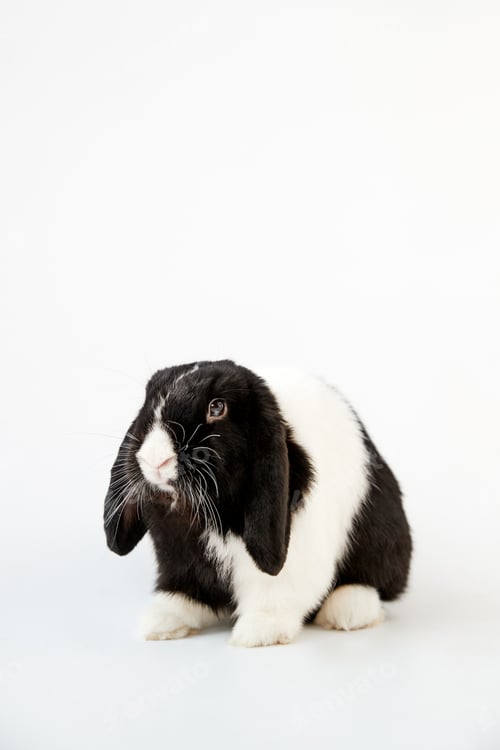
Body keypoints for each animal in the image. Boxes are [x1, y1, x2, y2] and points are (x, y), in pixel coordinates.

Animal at [104, 360, 412, 647]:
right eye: (149, 401)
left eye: (217, 407)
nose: (155, 459)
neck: (205, 511)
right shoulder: (177, 554)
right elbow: (185, 592)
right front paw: (163, 622)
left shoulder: (293, 554)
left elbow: (274, 591)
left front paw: (258, 633)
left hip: (382, 536)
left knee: (374, 581)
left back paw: (347, 611)